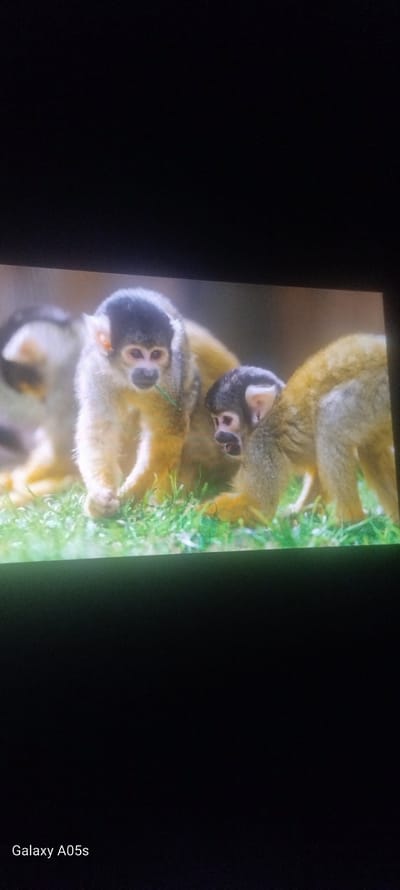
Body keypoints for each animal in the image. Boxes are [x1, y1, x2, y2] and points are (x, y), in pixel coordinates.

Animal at [75, 287, 240, 518]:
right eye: (135, 353)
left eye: (156, 354)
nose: (148, 372)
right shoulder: (95, 370)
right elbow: (100, 432)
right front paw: (101, 497)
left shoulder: (170, 374)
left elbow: (166, 434)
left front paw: (127, 496)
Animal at [202, 334, 399, 525]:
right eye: (215, 421)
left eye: (227, 420)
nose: (218, 436)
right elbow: (317, 475)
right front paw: (298, 514)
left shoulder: (261, 445)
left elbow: (259, 506)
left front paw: (202, 511)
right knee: (369, 449)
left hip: (378, 391)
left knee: (330, 422)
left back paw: (349, 521)